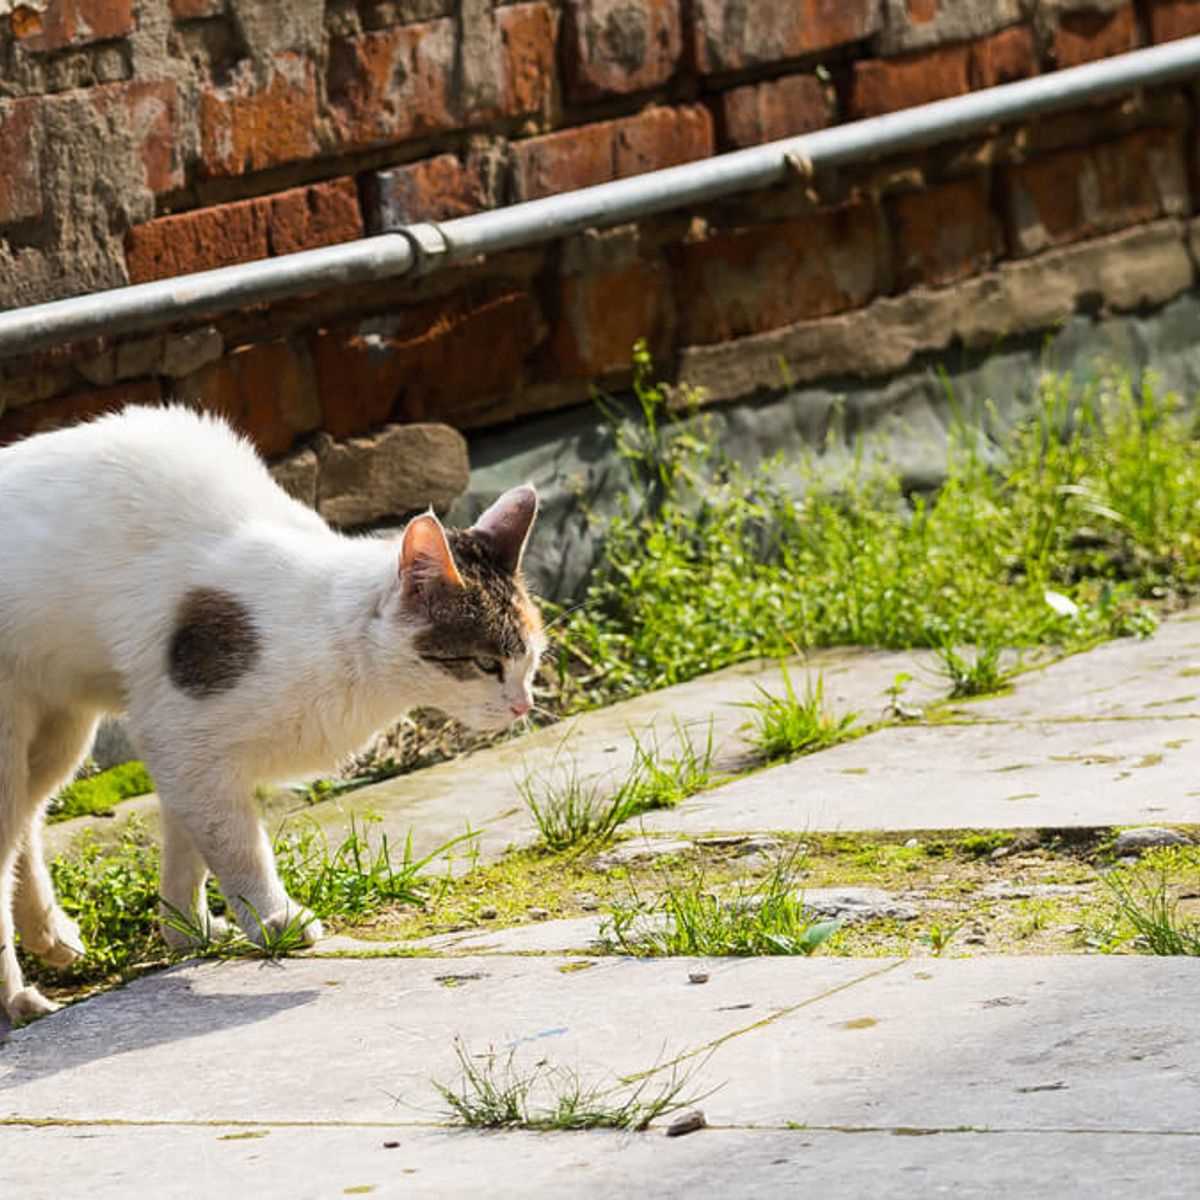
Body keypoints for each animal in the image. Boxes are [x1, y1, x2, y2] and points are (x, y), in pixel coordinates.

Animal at [0, 405, 544, 1022]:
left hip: (57, 733)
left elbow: (189, 847)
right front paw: (272, 920)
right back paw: (17, 996)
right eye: (485, 663)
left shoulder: (182, 756)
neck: (340, 642)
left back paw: (52, 937)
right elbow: (237, 847)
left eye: (531, 659)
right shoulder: (180, 734)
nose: (524, 704)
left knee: (25, 830)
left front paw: (186, 930)